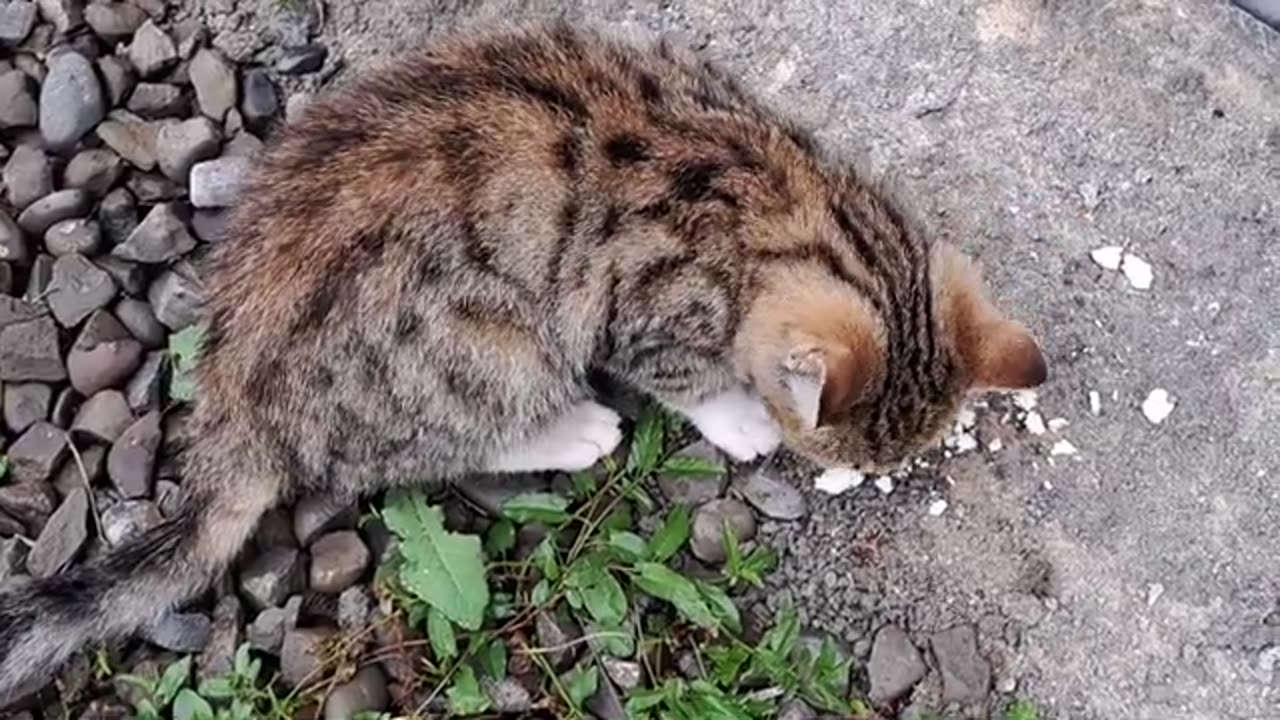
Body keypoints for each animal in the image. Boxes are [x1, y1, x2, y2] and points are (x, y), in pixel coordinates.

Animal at [0, 19, 1044, 696]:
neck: (776, 187)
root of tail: (234, 409)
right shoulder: (643, 309)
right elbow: (682, 372)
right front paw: (739, 415)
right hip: (488, 351)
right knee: (413, 452)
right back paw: (575, 428)